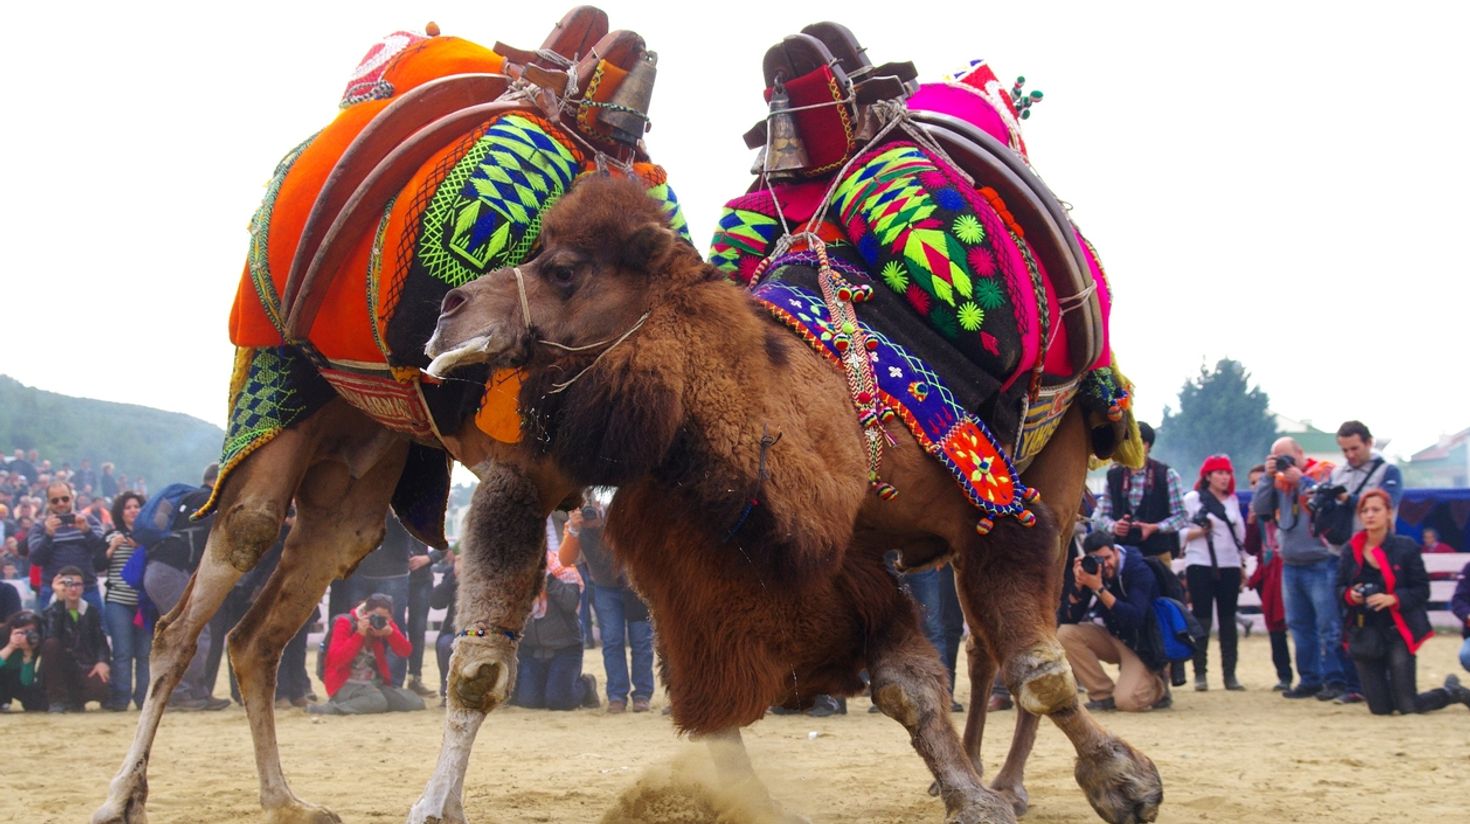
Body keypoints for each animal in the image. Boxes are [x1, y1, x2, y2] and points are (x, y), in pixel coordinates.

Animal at [421, 174, 1163, 824]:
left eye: (565, 270)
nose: (449, 310)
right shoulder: (831, 557)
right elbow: (904, 684)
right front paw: (969, 795)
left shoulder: (1000, 506)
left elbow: (1038, 670)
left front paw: (1125, 784)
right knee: (981, 652)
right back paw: (987, 775)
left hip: (1060, 474)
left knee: (1009, 647)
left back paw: (1011, 781)